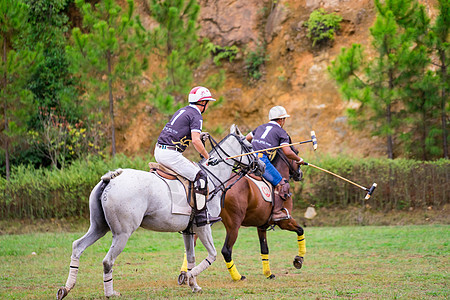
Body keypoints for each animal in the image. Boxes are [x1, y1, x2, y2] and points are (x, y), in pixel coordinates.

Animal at [56, 124, 262, 298]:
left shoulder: (188, 229)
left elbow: (191, 257)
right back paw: (110, 293)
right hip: (122, 233)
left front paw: (193, 285)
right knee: (107, 261)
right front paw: (188, 278)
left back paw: (66, 288)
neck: (213, 177)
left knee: (77, 246)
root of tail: (110, 179)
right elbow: (211, 254)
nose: (261, 167)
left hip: (99, 227)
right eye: (248, 146)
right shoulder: (203, 225)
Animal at [179, 146, 306, 282]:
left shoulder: (261, 226)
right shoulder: (284, 221)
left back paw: (184, 273)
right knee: (226, 250)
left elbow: (264, 249)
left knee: (191, 245)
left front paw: (268, 273)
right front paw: (298, 259)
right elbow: (300, 230)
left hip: (205, 220)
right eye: (296, 152)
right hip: (234, 224)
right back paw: (238, 276)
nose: (300, 174)